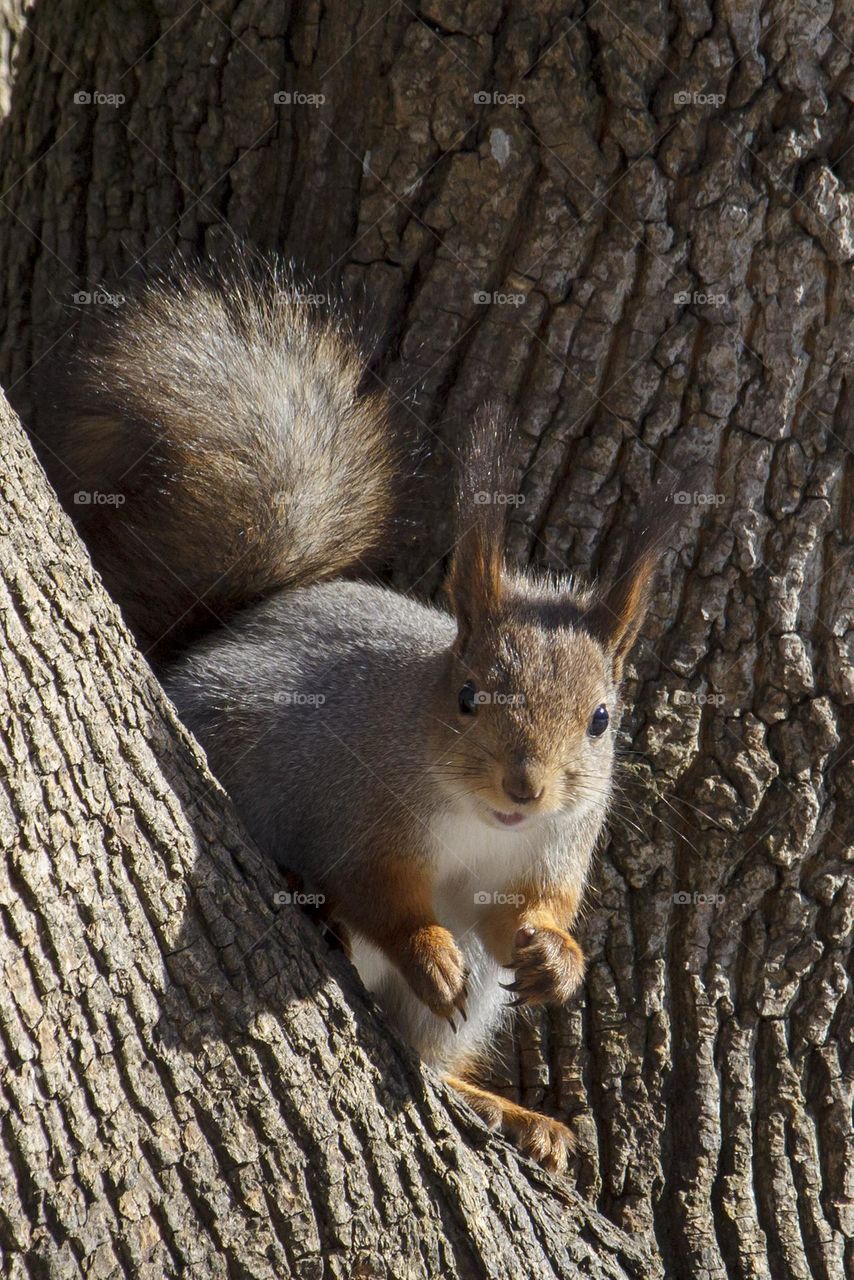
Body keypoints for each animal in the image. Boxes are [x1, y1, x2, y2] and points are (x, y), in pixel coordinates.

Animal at [39, 255, 678, 1176]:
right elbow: (382, 893)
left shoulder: (554, 845)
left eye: (601, 718)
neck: (478, 817)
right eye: (468, 695)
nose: (524, 788)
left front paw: (558, 959)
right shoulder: (358, 807)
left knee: (433, 1057)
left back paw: (513, 1114)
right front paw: (426, 952)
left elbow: (522, 913)